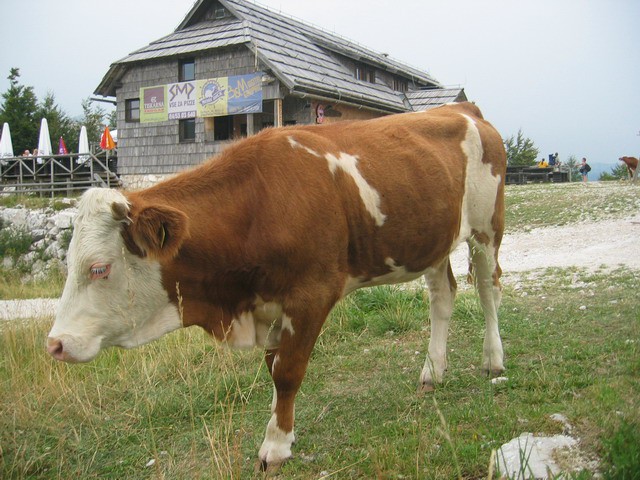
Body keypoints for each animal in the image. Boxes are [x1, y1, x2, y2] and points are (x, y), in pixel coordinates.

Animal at [46, 102, 504, 468]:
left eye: (100, 268)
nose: (55, 344)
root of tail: (462, 108)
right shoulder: (268, 301)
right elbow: (272, 366)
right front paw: (281, 423)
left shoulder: (311, 295)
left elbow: (287, 371)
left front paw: (277, 445)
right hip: (433, 240)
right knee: (443, 296)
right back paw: (433, 371)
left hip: (487, 227)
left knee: (488, 290)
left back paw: (493, 360)